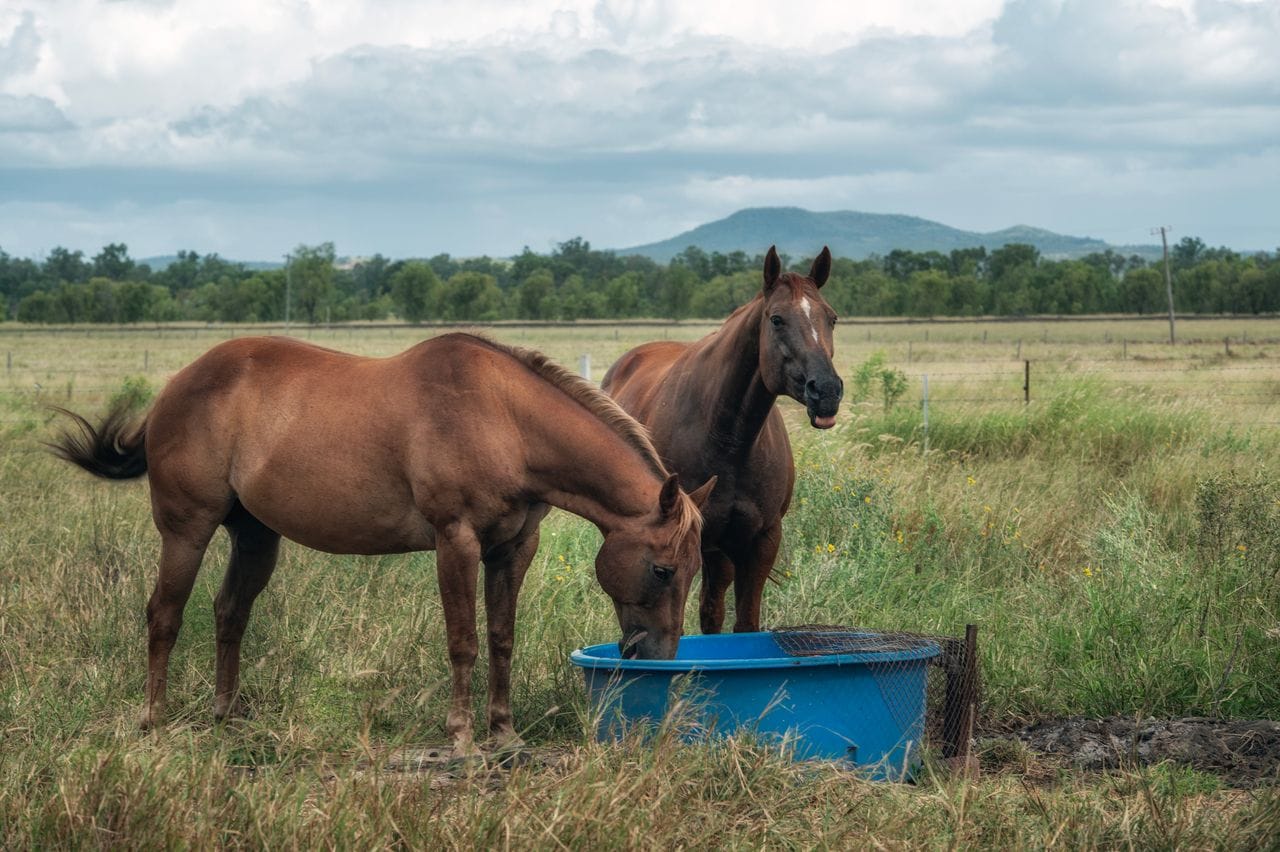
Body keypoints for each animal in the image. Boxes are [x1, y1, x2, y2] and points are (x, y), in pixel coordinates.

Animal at [55, 335, 716, 752]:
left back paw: (226, 716)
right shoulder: (456, 542)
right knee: (164, 616)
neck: (505, 421)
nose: (659, 658)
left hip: (255, 538)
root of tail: (175, 386)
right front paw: (461, 737)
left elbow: (501, 638)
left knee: (229, 614)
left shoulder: (514, 549)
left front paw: (504, 734)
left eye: (693, 572)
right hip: (186, 533)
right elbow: (463, 641)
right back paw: (155, 721)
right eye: (662, 571)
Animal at [601, 245, 839, 629]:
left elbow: (743, 623)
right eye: (776, 319)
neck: (730, 440)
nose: (828, 391)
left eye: (831, 318)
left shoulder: (761, 541)